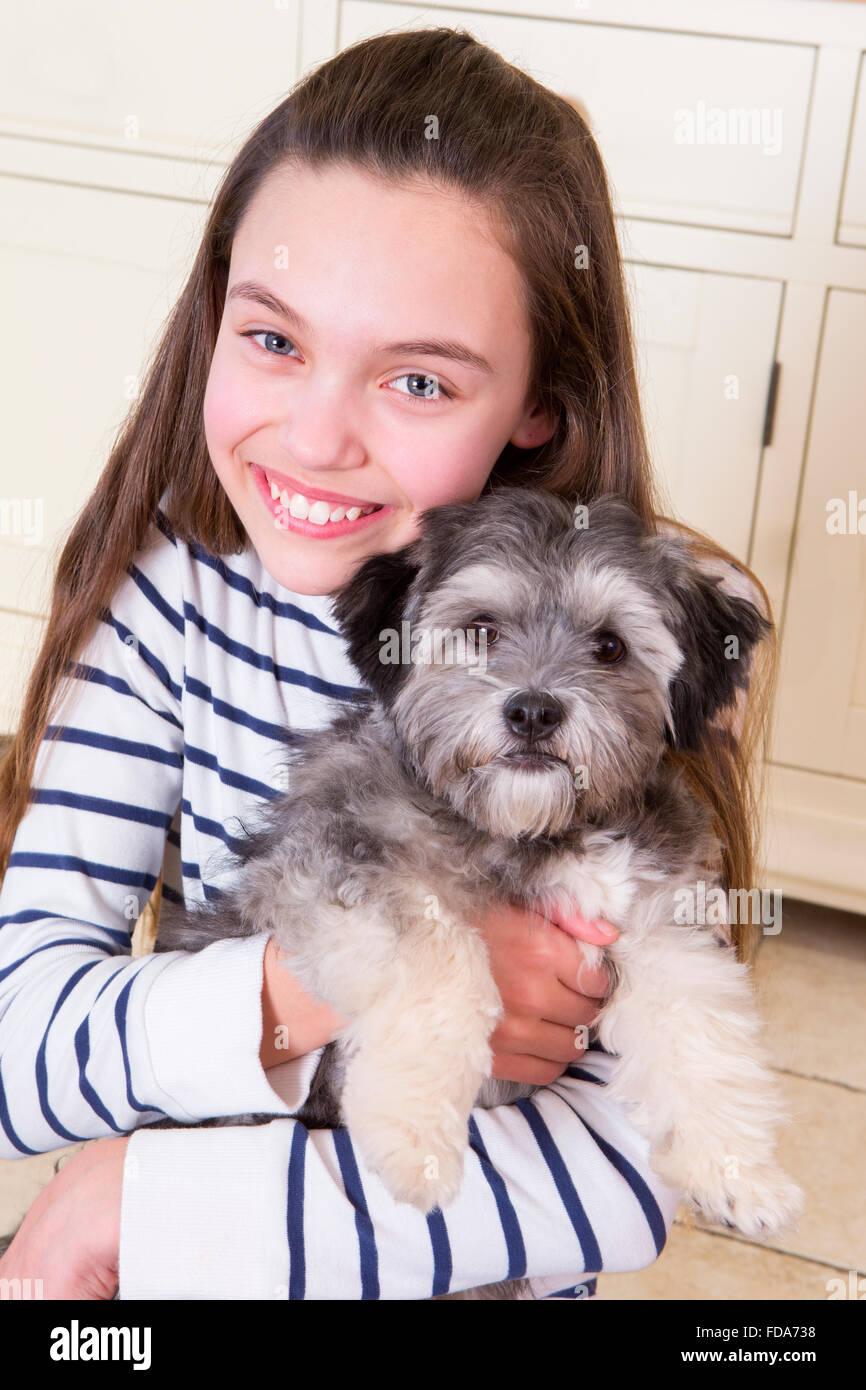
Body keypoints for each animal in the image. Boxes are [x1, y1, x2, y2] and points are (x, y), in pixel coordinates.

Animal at [150, 486, 806, 1289]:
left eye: (610, 646)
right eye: (482, 629)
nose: (532, 711)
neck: (529, 831)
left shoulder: (659, 919)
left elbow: (703, 1032)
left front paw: (742, 1173)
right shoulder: (336, 864)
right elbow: (443, 960)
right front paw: (415, 1139)